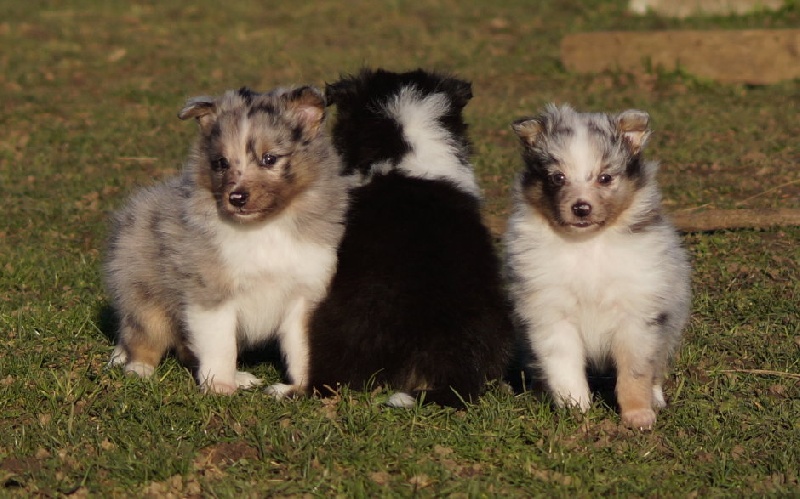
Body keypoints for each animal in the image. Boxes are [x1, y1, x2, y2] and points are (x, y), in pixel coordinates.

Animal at [104, 87, 346, 398]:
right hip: (144, 293)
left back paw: (241, 378)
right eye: (221, 163)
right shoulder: (211, 292)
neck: (264, 227)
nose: (236, 198)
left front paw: (298, 388)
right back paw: (138, 370)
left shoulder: (304, 296)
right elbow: (220, 345)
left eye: (269, 159)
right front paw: (219, 386)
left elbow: (301, 348)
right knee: (143, 336)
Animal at [506, 104, 688, 430]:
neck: (588, 244)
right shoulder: (551, 312)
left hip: (670, 323)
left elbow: (635, 372)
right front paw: (575, 409)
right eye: (557, 178)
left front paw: (638, 415)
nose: (581, 208)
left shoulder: (637, 314)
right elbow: (563, 366)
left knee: (656, 367)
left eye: (605, 178)